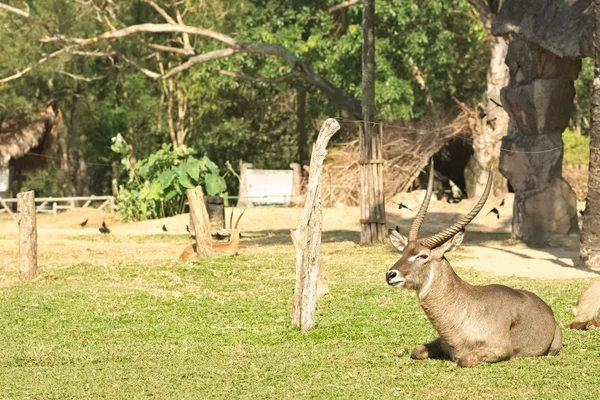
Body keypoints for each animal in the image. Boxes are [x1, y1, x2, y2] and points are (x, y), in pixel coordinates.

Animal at [386, 161, 564, 368]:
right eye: (404, 251)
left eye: (423, 255)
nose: (391, 275)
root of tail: (548, 311)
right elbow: (416, 351)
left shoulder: (499, 350)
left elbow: (464, 360)